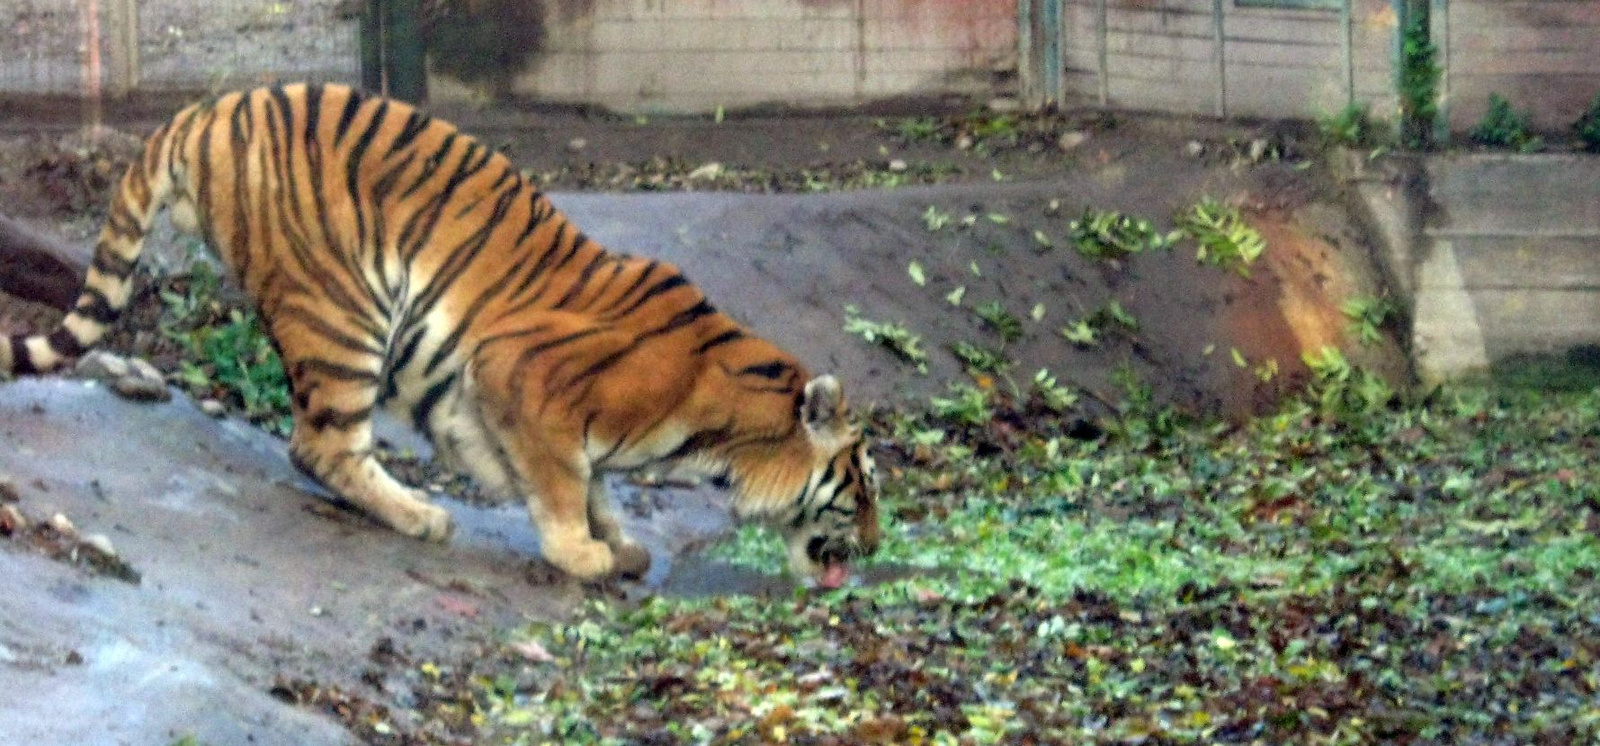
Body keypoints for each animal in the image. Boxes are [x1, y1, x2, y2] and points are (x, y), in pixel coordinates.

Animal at [0, 83, 883, 589]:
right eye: (864, 485)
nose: (875, 547)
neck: (721, 431)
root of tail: (200, 112)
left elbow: (593, 482)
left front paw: (620, 543)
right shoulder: (519, 372)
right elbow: (563, 484)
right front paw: (584, 554)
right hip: (345, 308)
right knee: (319, 445)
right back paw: (422, 516)